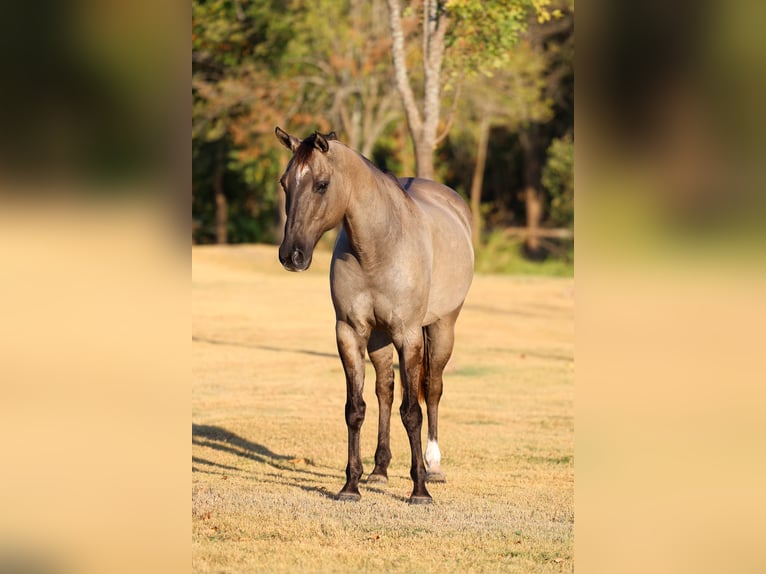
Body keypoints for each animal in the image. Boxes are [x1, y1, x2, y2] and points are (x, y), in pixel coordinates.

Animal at [275, 127, 474, 504]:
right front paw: (350, 486)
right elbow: (356, 408)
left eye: (321, 184)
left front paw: (420, 490)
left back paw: (434, 466)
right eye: (284, 183)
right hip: (380, 339)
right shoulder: (350, 333)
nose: (291, 255)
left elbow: (413, 412)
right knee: (386, 390)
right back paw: (379, 469)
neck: (378, 247)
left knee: (433, 389)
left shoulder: (409, 334)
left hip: (443, 328)